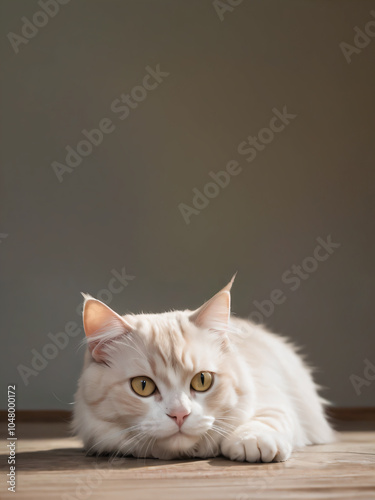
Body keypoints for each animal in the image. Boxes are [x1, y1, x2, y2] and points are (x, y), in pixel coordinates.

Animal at [73, 276, 334, 462]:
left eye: (202, 380)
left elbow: (268, 418)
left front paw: (251, 442)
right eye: (143, 386)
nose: (179, 415)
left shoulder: (274, 396)